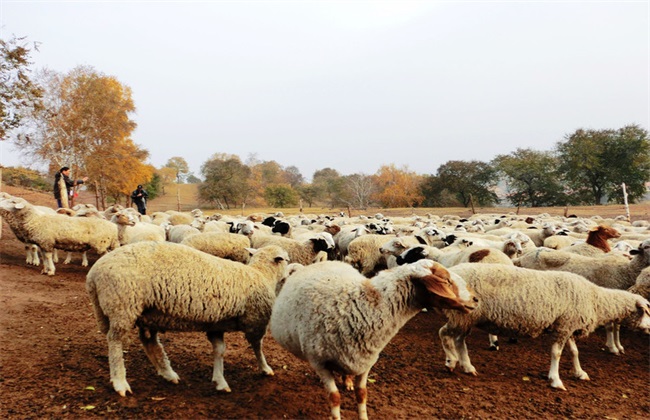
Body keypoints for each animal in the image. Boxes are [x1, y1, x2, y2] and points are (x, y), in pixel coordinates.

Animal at [86, 243, 288, 398]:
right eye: (286, 259)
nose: (288, 274)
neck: (262, 274)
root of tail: (93, 275)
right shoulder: (256, 321)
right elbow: (257, 347)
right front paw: (265, 368)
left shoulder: (216, 324)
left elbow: (219, 351)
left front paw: (219, 380)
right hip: (123, 306)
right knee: (115, 342)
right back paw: (120, 382)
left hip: (147, 313)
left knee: (149, 341)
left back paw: (167, 373)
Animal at [268, 260, 476, 420]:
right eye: (446, 280)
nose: (475, 299)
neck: (361, 306)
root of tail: (322, 262)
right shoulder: (320, 362)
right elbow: (334, 397)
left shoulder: (366, 360)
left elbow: (362, 395)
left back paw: (347, 381)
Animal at [436, 262, 648, 390]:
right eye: (647, 311)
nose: (649, 329)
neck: (595, 298)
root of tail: (453, 271)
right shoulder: (564, 327)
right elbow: (556, 353)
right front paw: (555, 380)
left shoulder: (567, 324)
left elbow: (574, 352)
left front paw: (580, 373)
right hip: (461, 315)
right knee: (444, 333)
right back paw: (451, 362)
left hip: (467, 318)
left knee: (459, 340)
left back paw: (467, 366)